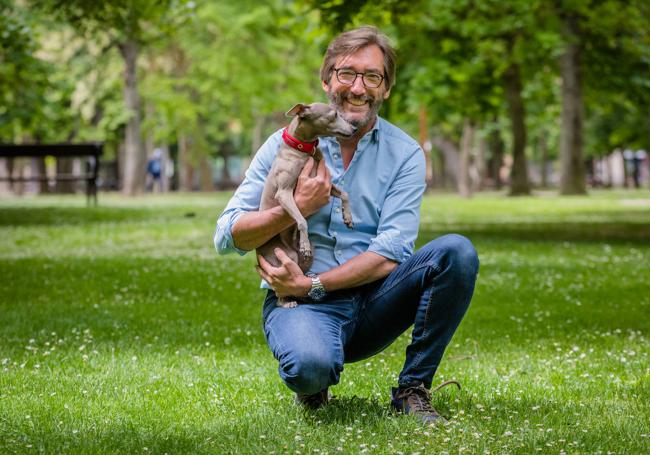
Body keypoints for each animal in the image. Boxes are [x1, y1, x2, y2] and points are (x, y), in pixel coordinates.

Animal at [254, 102, 354, 310]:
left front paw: (348, 217)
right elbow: (301, 221)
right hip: (284, 257)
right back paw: (287, 302)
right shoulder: (284, 193)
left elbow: (345, 194)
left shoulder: (325, 185)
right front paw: (305, 243)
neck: (304, 151)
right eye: (334, 114)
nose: (354, 129)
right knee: (280, 290)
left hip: (305, 259)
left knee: (298, 277)